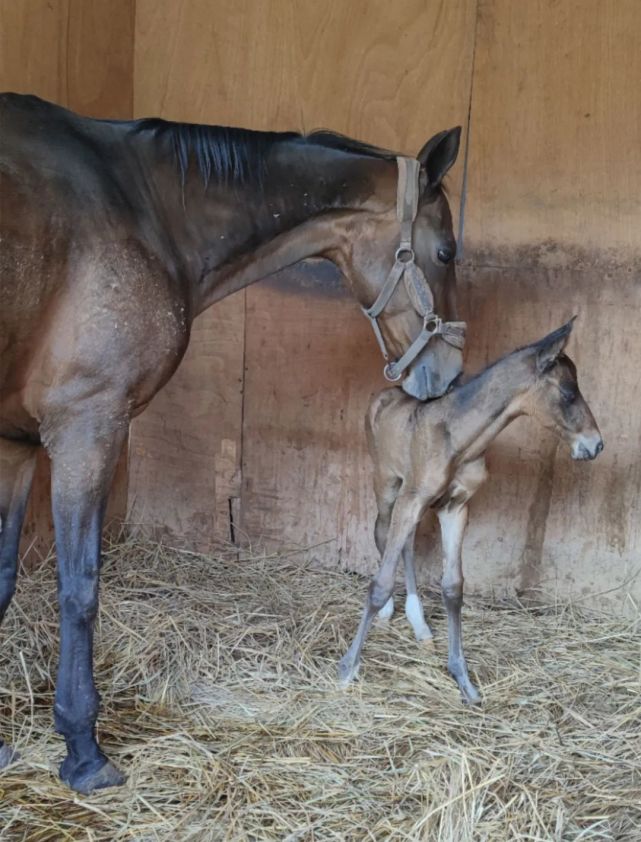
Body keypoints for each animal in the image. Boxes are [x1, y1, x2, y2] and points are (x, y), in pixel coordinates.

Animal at [0, 95, 462, 792]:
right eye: (447, 251)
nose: (449, 374)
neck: (142, 203)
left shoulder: (17, 442)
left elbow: (2, 577)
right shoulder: (87, 426)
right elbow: (79, 587)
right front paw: (83, 749)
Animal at [338, 318, 604, 700]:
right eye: (568, 393)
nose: (595, 444)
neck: (460, 439)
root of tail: (384, 394)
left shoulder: (455, 507)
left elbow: (453, 587)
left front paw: (463, 678)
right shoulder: (412, 498)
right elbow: (380, 583)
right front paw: (347, 669)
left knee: (405, 543)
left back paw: (420, 625)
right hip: (387, 484)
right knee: (382, 531)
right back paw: (393, 613)